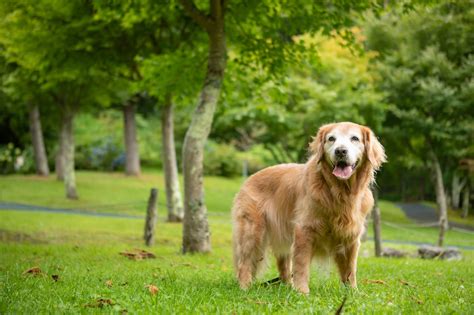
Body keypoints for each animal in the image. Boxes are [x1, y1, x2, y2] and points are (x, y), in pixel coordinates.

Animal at [232, 122, 386, 296]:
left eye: (354, 138)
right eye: (331, 139)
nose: (340, 151)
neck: (339, 192)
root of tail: (249, 179)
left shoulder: (351, 237)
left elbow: (350, 270)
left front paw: (352, 292)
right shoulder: (304, 231)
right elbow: (302, 265)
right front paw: (302, 292)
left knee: (283, 266)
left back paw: (287, 285)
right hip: (252, 232)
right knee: (244, 263)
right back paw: (245, 287)